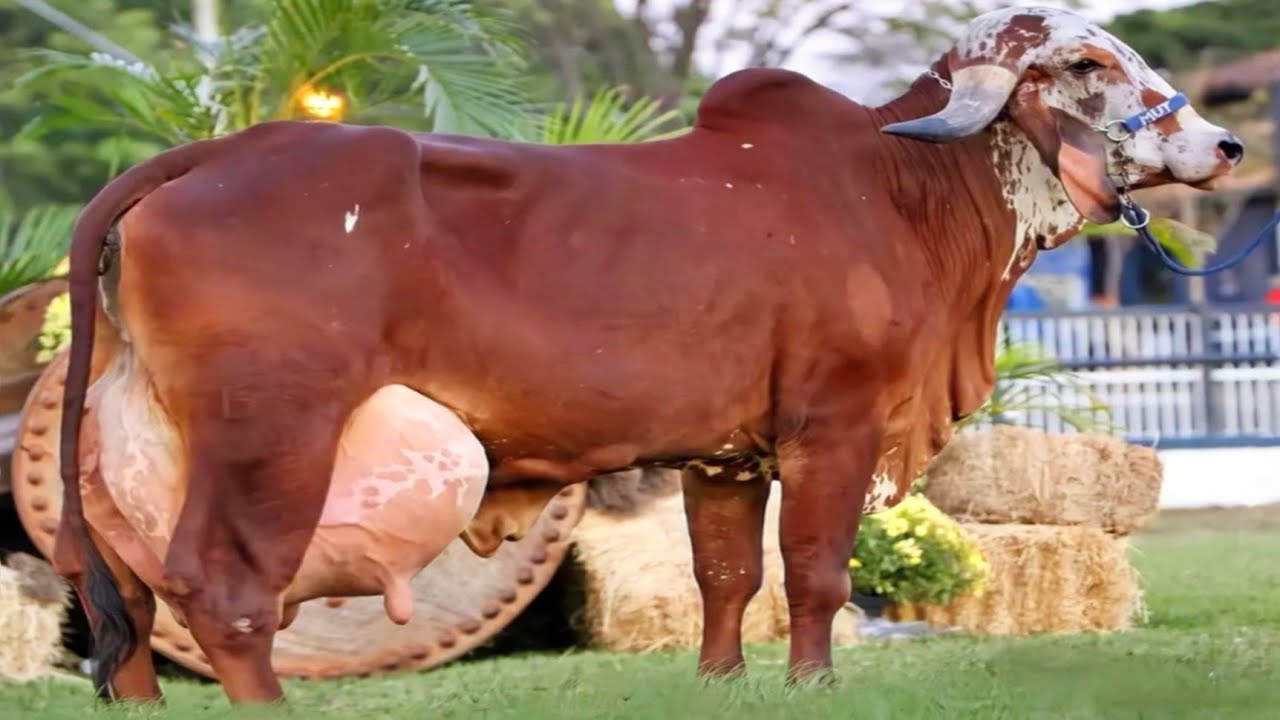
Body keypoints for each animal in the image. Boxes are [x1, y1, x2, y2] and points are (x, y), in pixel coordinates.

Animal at [52, 6, 1242, 706]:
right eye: (1085, 62)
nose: (1225, 143)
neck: (906, 189)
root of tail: (211, 155)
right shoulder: (835, 424)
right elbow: (814, 571)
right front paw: (811, 685)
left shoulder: (724, 453)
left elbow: (726, 576)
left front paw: (721, 680)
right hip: (273, 436)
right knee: (223, 590)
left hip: (132, 449)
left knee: (124, 600)